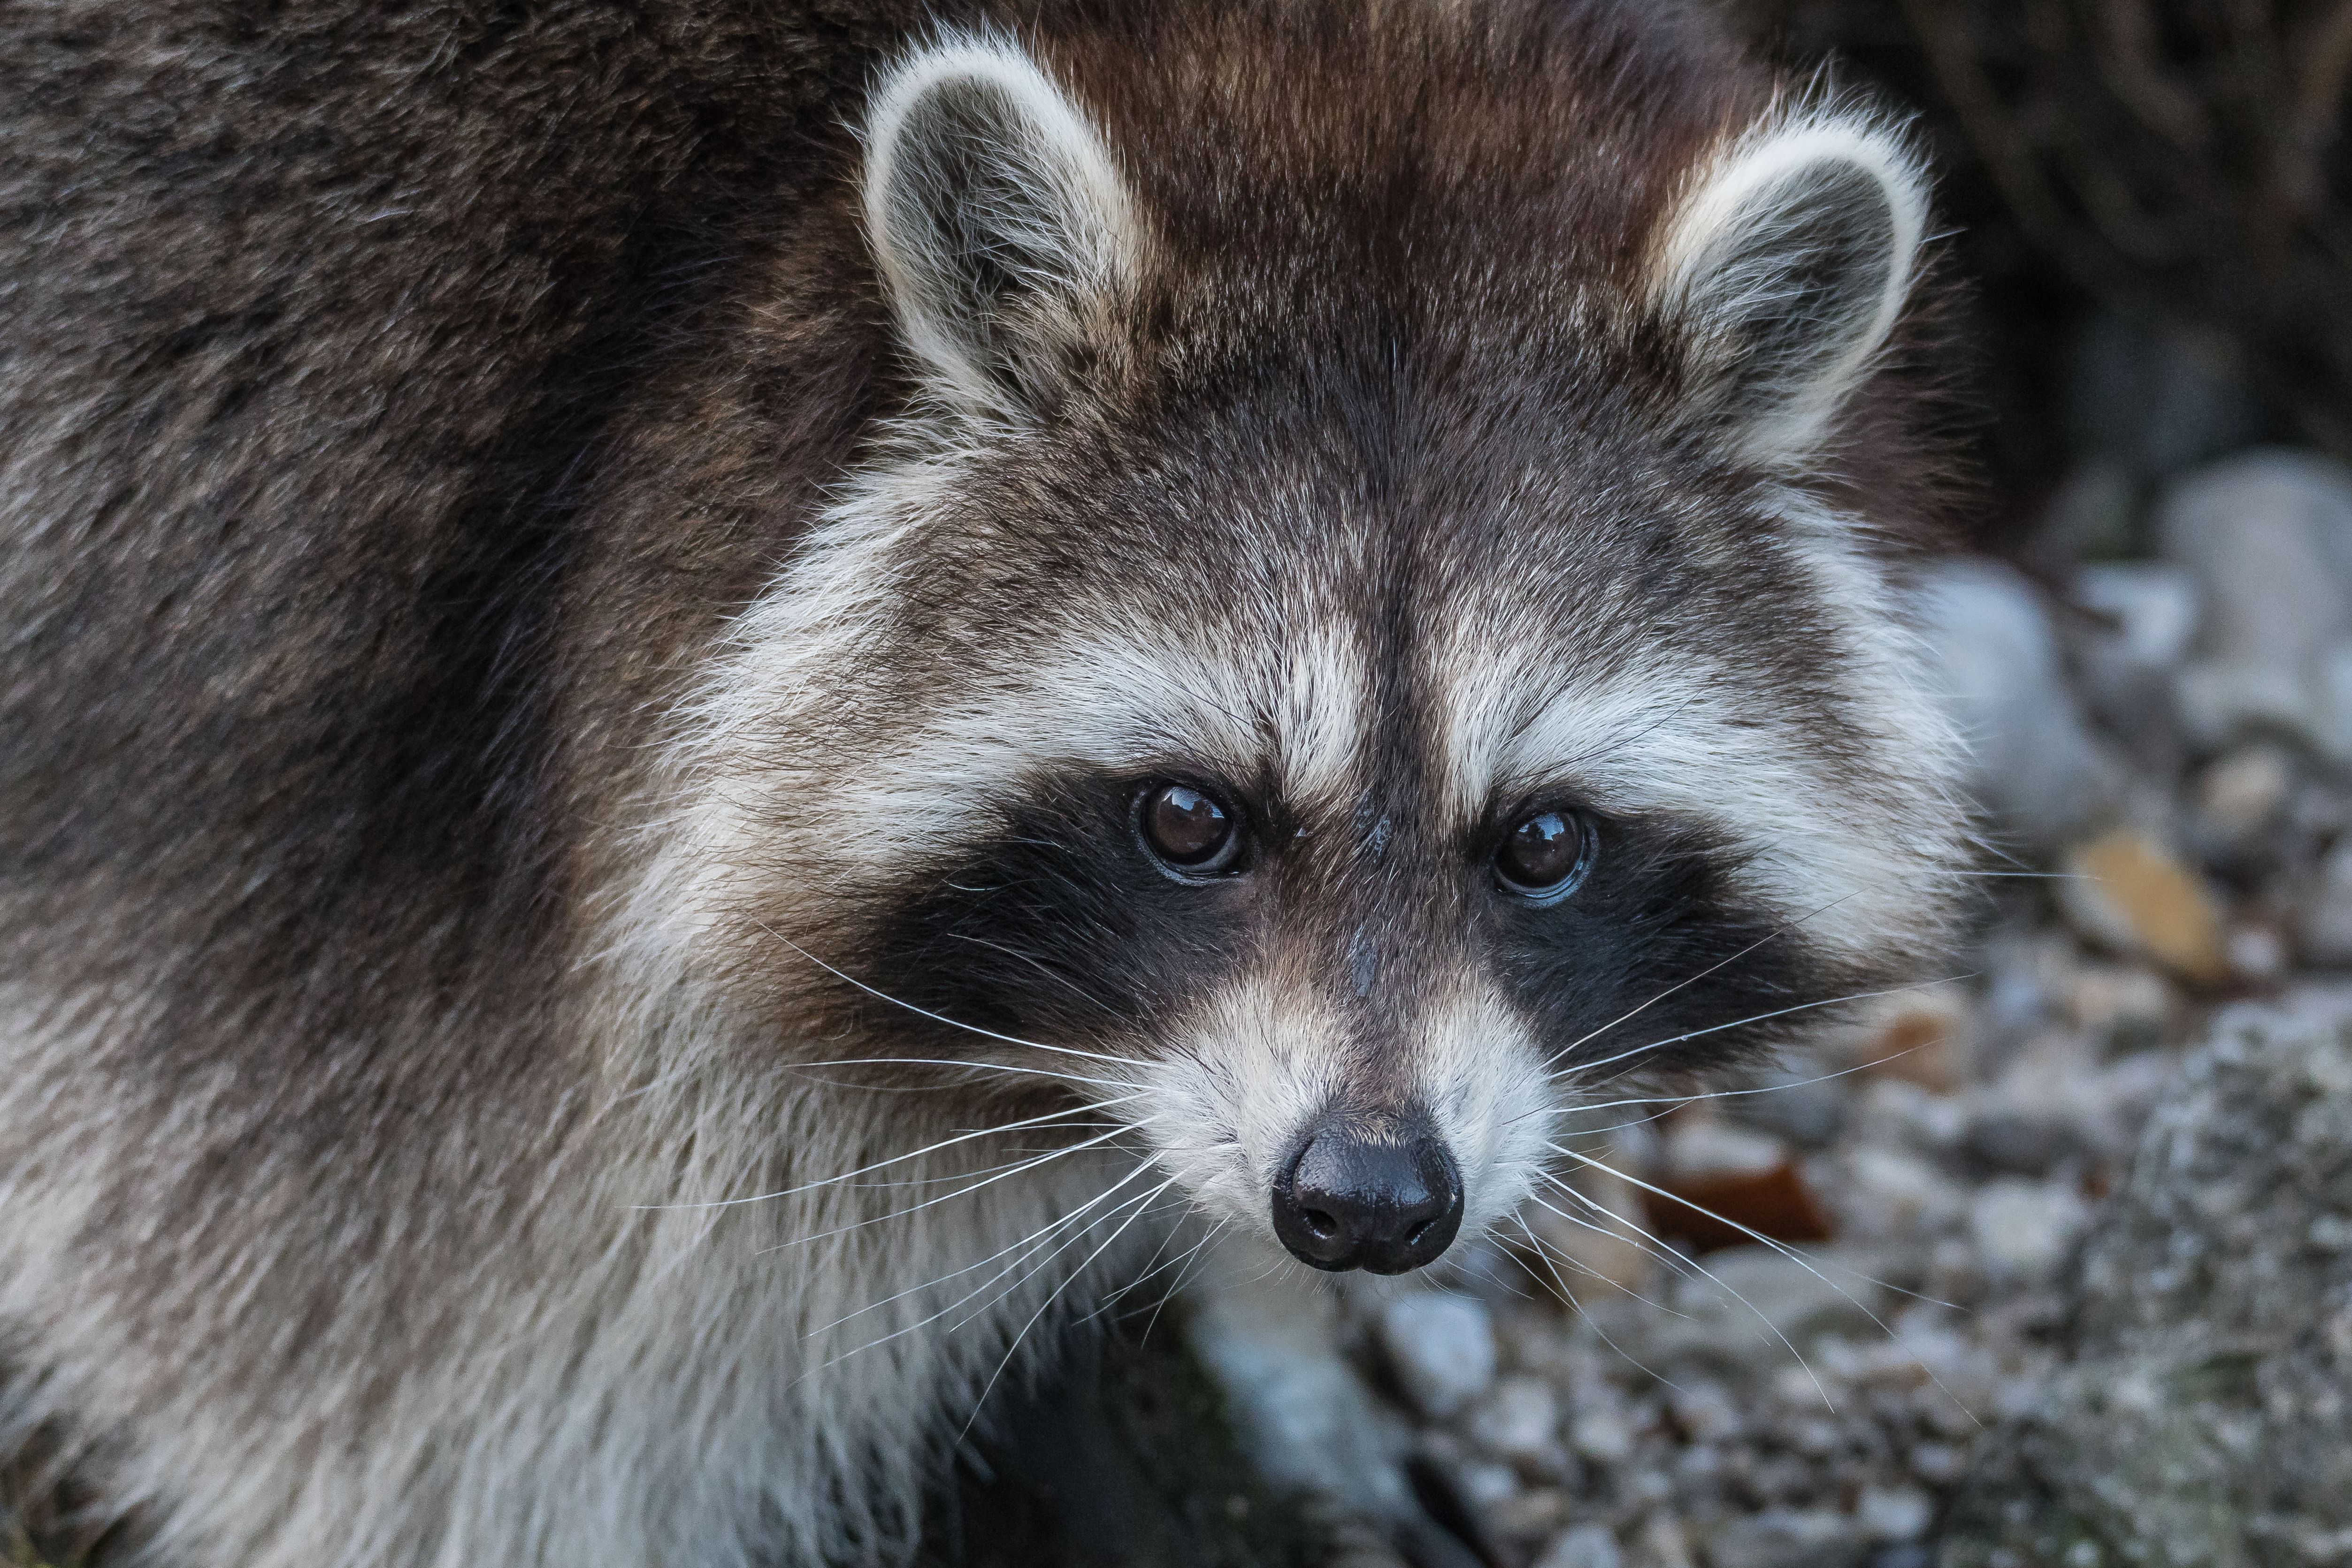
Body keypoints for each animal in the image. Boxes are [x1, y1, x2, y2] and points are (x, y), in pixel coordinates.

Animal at [0, 1, 1968, 1564]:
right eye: (1189, 819)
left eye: (1542, 840)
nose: (1366, 1203)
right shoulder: (334, 753)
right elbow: (400, 1395)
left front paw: (1259, 1323)